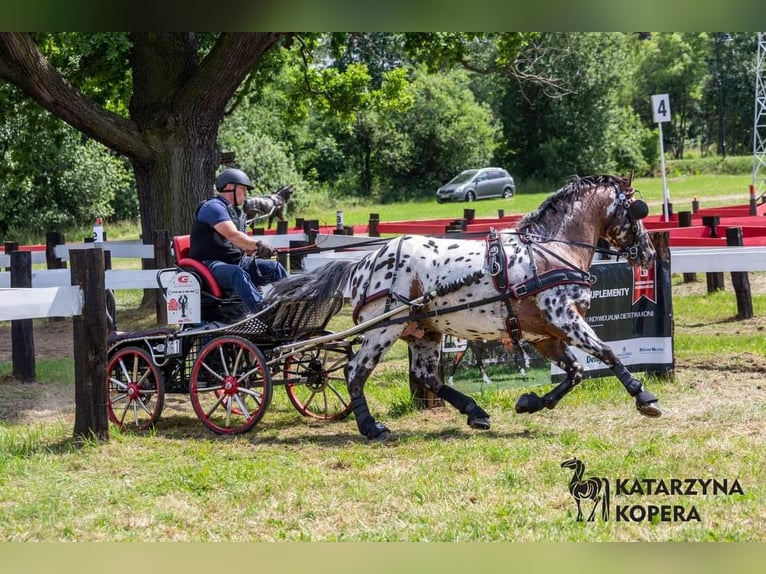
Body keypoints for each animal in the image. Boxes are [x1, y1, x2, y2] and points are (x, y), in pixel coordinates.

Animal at [268, 173, 664, 444]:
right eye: (637, 211)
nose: (647, 253)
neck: (551, 248)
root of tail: (363, 263)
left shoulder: (544, 334)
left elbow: (577, 372)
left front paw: (529, 402)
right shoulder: (563, 318)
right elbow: (608, 352)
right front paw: (643, 396)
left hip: (424, 330)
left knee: (428, 376)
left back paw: (476, 412)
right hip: (384, 328)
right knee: (355, 370)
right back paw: (371, 426)